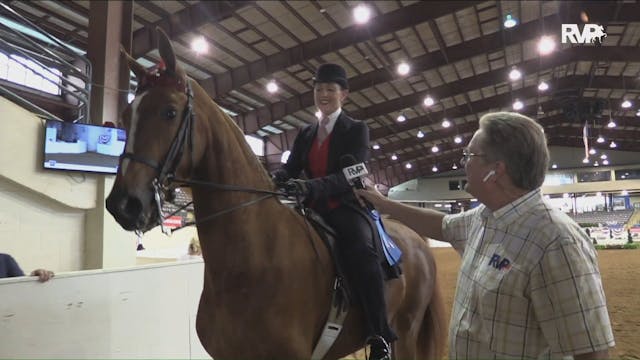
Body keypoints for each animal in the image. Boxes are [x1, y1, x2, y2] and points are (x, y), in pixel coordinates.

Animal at [106, 28, 444, 360]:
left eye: (170, 112)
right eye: (125, 116)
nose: (122, 204)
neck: (253, 259)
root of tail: (417, 239)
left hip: (406, 332)